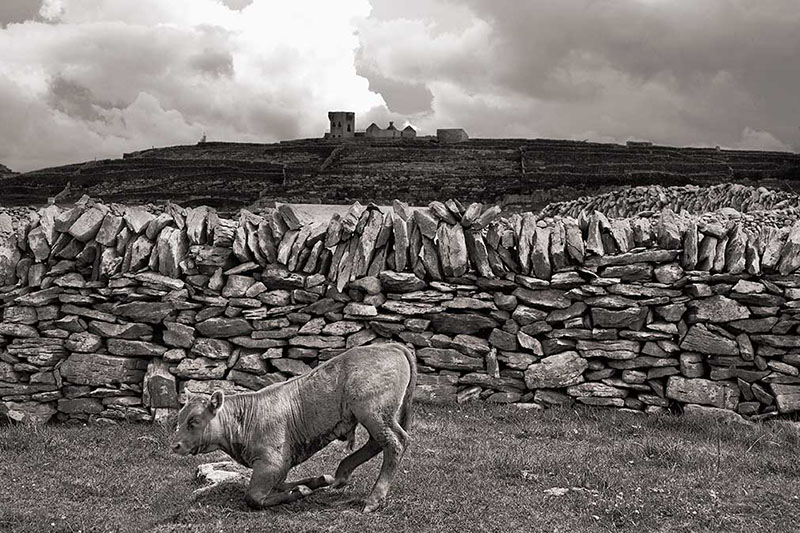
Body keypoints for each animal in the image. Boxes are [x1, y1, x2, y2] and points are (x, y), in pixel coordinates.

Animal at [170, 340, 418, 512]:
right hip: (376, 415)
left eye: (194, 421)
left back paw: (373, 499)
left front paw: (301, 490)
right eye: (179, 419)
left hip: (373, 412)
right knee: (378, 443)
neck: (245, 420)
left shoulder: (271, 462)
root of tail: (390, 345)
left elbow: (254, 497)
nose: (175, 446)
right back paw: (340, 475)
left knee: (395, 443)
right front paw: (317, 481)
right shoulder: (283, 463)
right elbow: (283, 484)